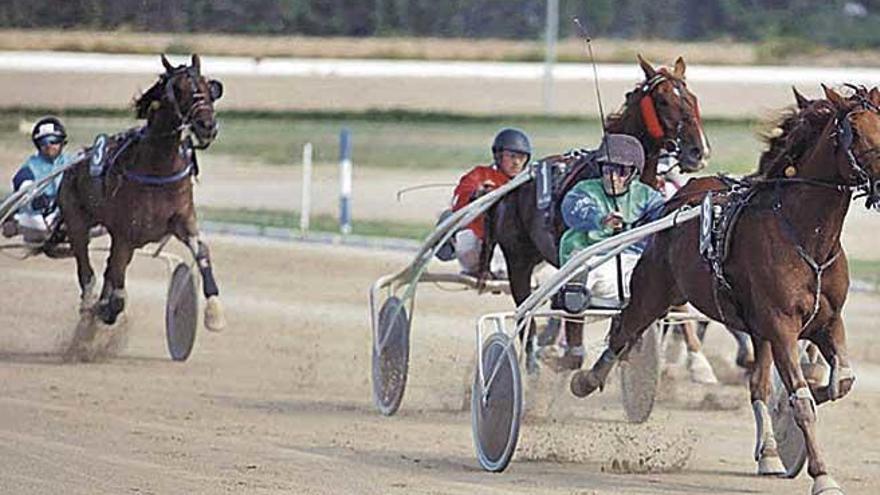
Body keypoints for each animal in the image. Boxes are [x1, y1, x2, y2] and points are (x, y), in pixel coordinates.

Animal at [56, 54, 225, 332]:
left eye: (207, 85)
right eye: (179, 90)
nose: (206, 126)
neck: (158, 167)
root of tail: (74, 163)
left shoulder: (183, 220)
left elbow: (202, 253)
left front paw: (214, 313)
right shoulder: (125, 234)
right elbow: (116, 293)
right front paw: (104, 308)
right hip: (77, 221)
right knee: (86, 269)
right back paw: (90, 305)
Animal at [484, 55, 712, 368]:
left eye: (692, 98)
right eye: (663, 100)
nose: (697, 151)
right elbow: (575, 314)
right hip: (518, 258)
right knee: (526, 308)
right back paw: (530, 361)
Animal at [572, 83, 880, 494]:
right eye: (856, 131)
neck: (805, 234)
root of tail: (677, 198)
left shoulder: (826, 321)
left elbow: (841, 381)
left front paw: (812, 394)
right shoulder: (781, 325)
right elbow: (801, 400)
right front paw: (822, 474)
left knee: (758, 384)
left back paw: (769, 453)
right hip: (655, 290)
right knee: (625, 329)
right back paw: (587, 379)